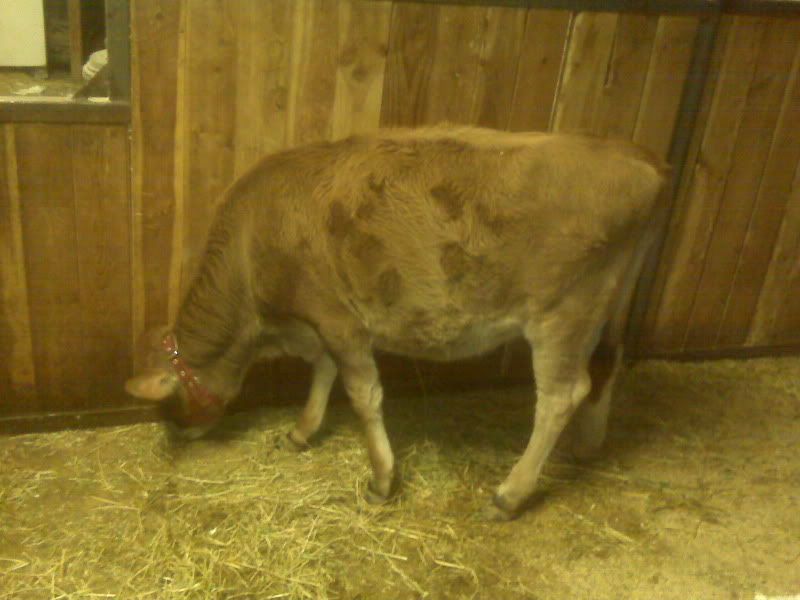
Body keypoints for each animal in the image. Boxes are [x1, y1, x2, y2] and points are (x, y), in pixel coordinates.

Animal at [125, 125, 668, 519]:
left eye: (171, 399)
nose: (177, 432)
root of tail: (638, 157)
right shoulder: (322, 322)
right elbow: (323, 372)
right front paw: (303, 431)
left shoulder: (339, 320)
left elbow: (362, 394)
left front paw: (383, 479)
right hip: (610, 305)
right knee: (609, 360)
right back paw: (587, 446)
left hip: (563, 312)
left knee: (560, 395)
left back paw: (508, 495)